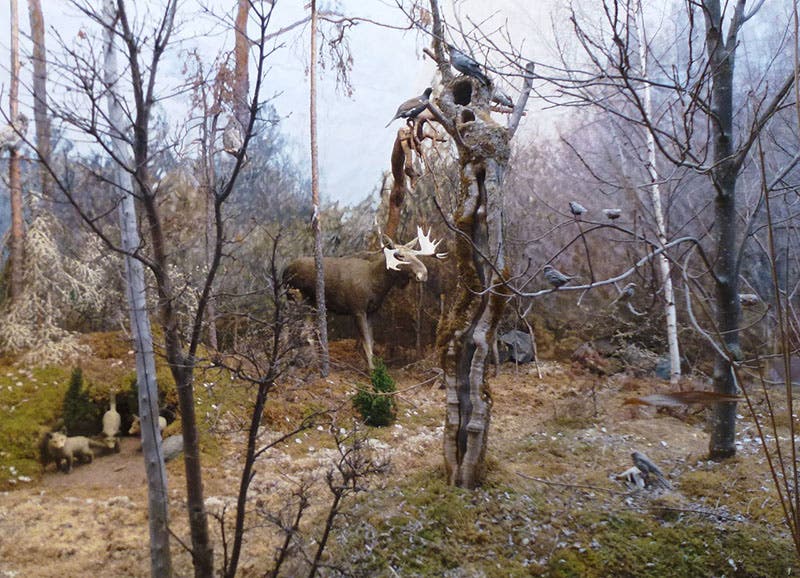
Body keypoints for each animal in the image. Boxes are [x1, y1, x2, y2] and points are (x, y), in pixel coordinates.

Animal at [283, 227, 446, 371]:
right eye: (399, 255)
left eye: (415, 255)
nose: (423, 273)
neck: (376, 282)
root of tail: (284, 270)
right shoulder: (357, 309)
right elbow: (366, 342)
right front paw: (372, 369)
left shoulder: (371, 311)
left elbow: (372, 341)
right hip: (294, 300)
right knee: (290, 329)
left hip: (311, 305)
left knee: (306, 332)